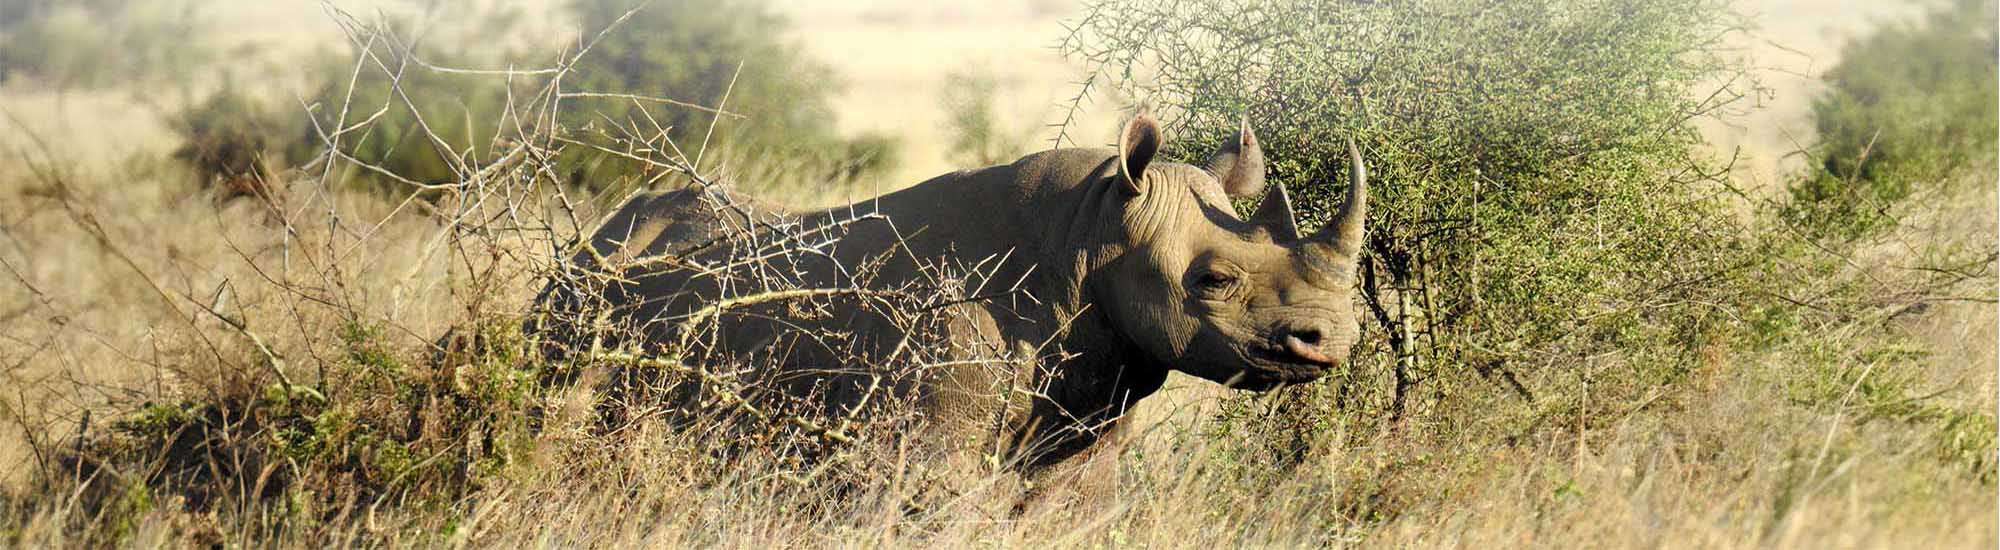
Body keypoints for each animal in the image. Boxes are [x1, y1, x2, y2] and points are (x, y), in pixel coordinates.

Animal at [531, 113, 1369, 474]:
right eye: (1213, 282)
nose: (1331, 341)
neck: (1088, 233)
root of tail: (593, 240)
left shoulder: (1096, 401)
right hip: (577, 300)